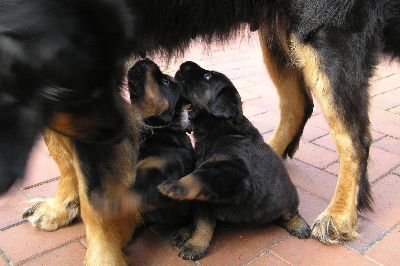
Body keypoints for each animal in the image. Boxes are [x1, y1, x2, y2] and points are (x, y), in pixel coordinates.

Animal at [158, 61, 310, 260]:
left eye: (207, 76)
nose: (185, 64)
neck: (221, 130)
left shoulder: (233, 171)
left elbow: (198, 177)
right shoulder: (206, 200)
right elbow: (202, 223)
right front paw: (195, 243)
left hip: (289, 196)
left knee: (289, 213)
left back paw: (299, 225)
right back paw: (182, 232)